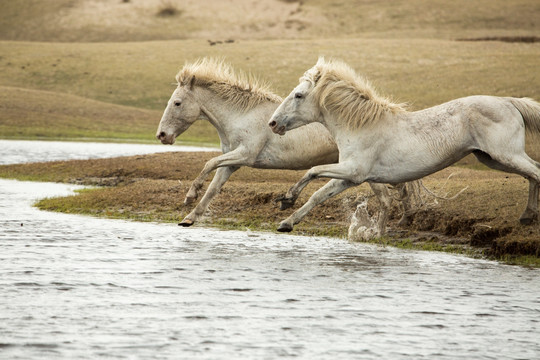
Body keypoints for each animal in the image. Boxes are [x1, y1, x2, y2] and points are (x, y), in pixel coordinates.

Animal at [157, 56, 418, 231]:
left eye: (177, 103)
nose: (162, 135)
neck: (242, 114)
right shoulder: (232, 163)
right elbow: (213, 188)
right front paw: (189, 217)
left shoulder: (245, 155)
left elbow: (209, 163)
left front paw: (189, 196)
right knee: (397, 192)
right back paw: (401, 221)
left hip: (359, 172)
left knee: (387, 198)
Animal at [268, 57, 540, 232]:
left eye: (298, 95)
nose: (272, 123)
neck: (360, 126)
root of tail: (508, 101)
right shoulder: (349, 177)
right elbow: (318, 195)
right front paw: (286, 221)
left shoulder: (354, 171)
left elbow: (312, 172)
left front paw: (287, 198)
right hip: (492, 158)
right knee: (533, 174)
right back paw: (527, 216)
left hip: (506, 155)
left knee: (536, 172)